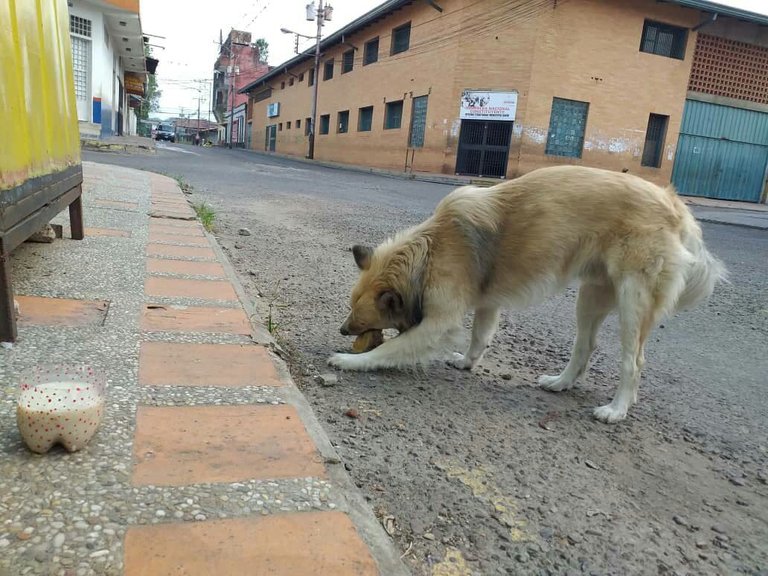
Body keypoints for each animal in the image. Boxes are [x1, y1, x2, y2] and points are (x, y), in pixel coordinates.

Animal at [330, 165, 728, 424]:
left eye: (360, 320)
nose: (342, 330)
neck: (428, 251)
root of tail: (674, 203)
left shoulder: (439, 321)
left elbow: (392, 348)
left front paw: (350, 361)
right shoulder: (487, 303)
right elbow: (480, 336)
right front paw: (468, 362)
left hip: (633, 300)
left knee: (634, 361)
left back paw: (616, 409)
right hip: (591, 295)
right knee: (585, 346)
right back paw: (561, 383)